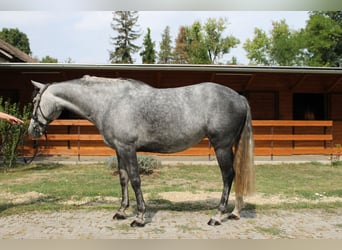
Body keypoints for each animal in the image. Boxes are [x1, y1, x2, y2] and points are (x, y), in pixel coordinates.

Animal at [28, 75, 255, 228]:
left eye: (35, 102)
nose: (32, 131)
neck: (110, 102)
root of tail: (239, 98)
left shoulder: (128, 148)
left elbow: (136, 179)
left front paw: (139, 217)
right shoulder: (119, 149)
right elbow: (123, 179)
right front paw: (121, 212)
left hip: (221, 146)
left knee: (228, 176)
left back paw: (217, 216)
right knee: (236, 175)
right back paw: (235, 212)